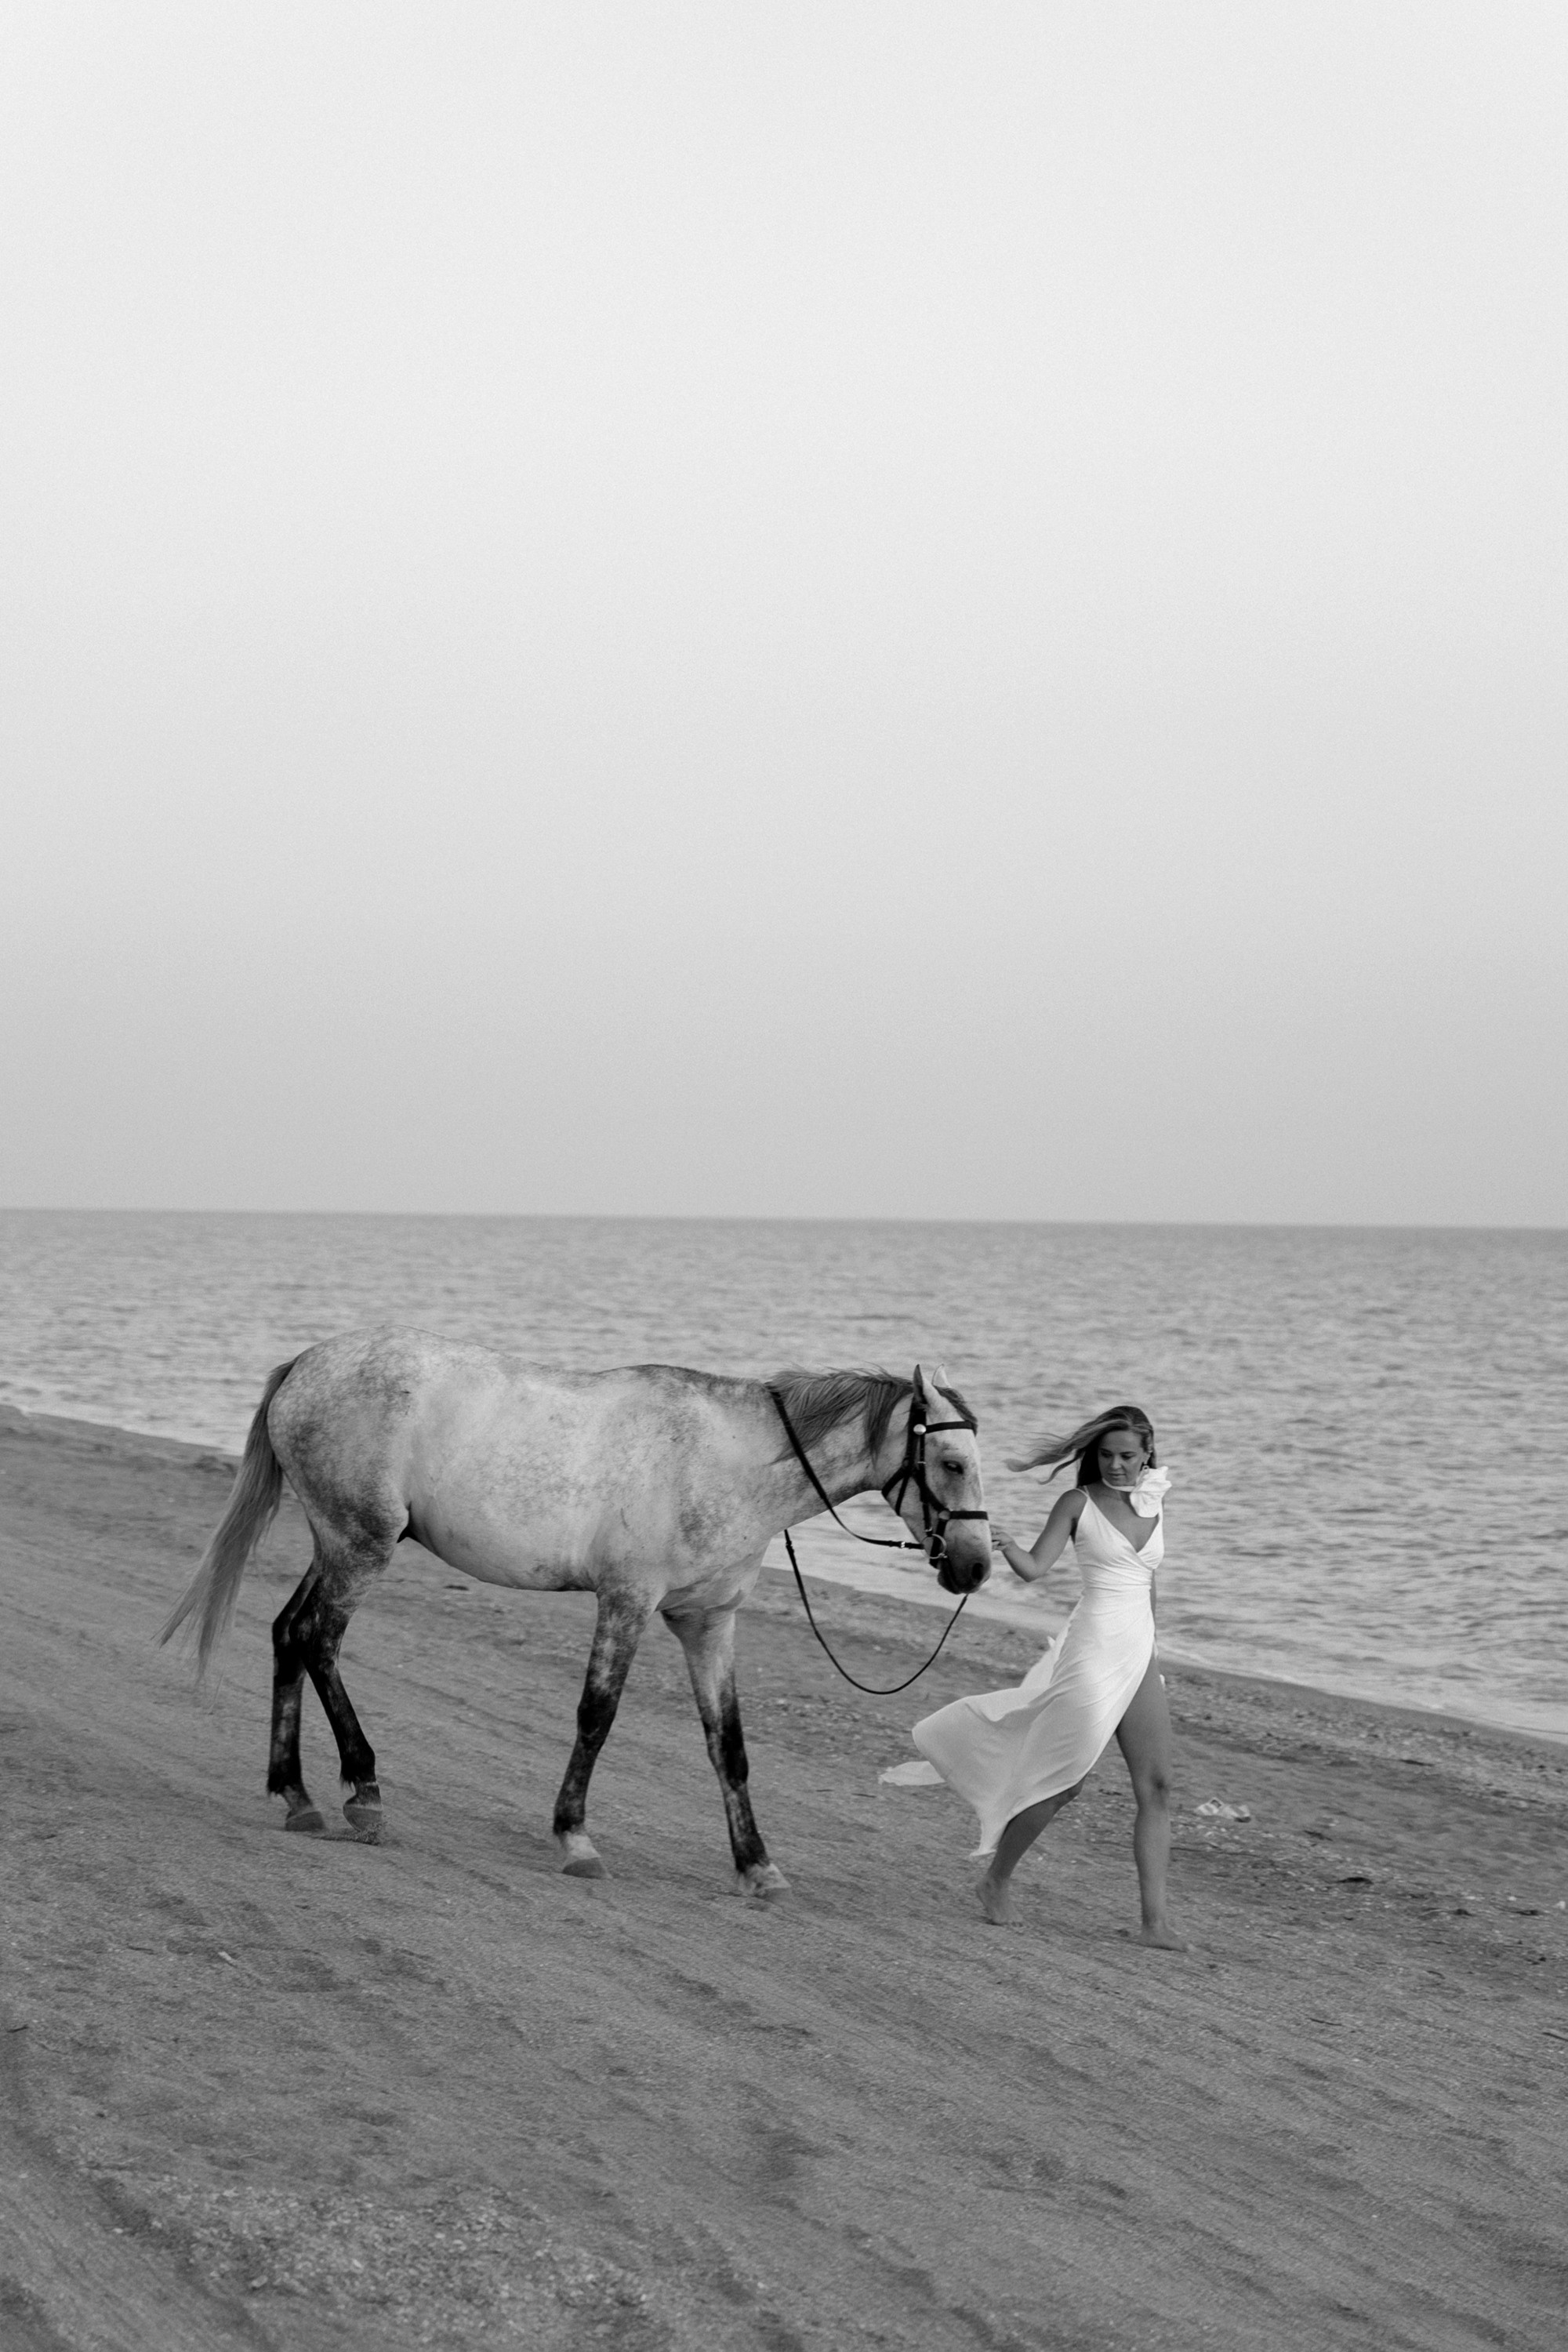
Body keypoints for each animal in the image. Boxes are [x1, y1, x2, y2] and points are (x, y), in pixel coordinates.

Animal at [160, 1328, 992, 1895]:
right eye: (952, 1463)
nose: (977, 1567)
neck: (724, 1459)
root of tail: (307, 1362)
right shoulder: (626, 1603)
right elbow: (598, 1716)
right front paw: (575, 1837)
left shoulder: (709, 1623)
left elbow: (728, 1745)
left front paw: (756, 1865)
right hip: (359, 1546)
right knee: (318, 1641)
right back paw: (361, 1793)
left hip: (336, 1544)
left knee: (287, 1635)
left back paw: (297, 1794)